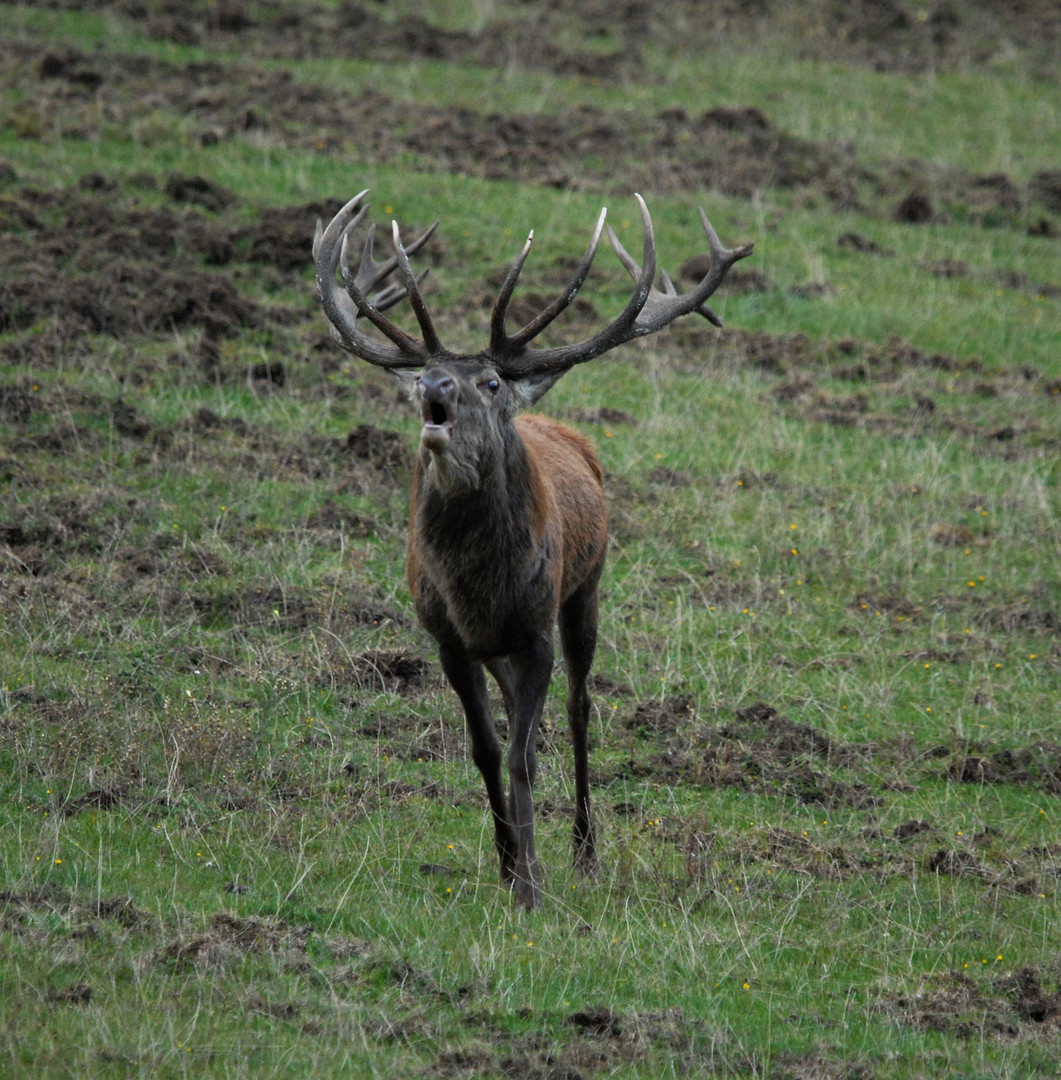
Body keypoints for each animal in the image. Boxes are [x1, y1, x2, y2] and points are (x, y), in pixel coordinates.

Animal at [311, 190, 751, 907]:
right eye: (426, 374)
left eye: (489, 383)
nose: (434, 389)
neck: (479, 588)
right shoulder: (449, 638)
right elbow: (488, 749)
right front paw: (506, 863)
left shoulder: (537, 627)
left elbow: (523, 752)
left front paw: (531, 887)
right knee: (524, 713)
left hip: (585, 591)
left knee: (577, 711)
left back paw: (583, 849)